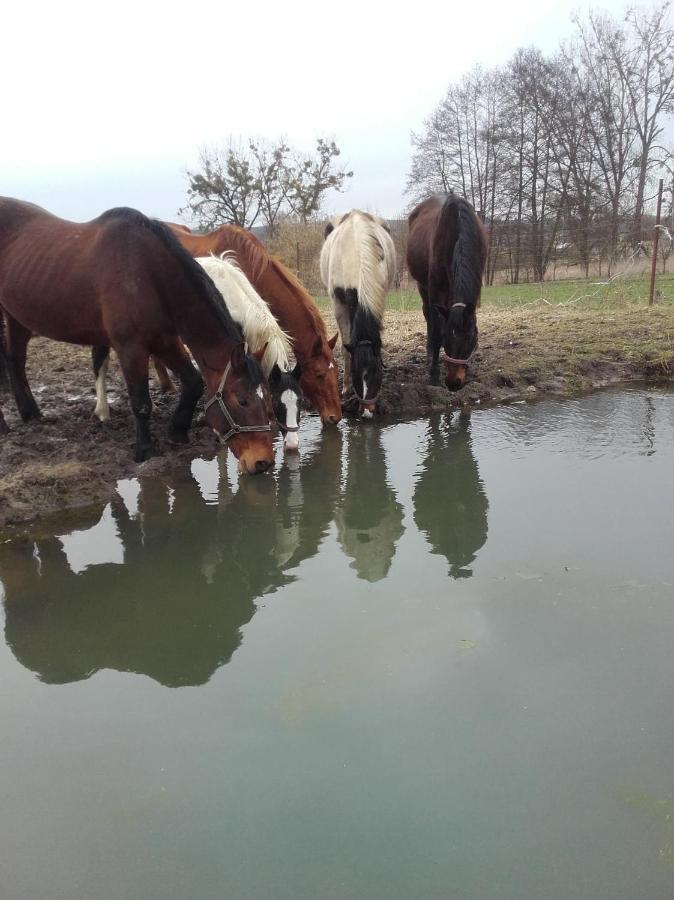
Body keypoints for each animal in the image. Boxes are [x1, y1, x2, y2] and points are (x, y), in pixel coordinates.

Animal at [0, 199, 274, 472]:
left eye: (267, 398)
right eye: (242, 400)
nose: (263, 463)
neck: (147, 271)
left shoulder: (165, 341)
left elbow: (194, 382)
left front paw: (177, 432)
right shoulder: (130, 348)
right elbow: (141, 402)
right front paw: (145, 449)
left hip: (16, 317)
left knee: (15, 360)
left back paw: (31, 414)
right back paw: (5, 426)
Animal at [318, 211, 394, 418]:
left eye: (377, 372)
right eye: (354, 371)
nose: (367, 412)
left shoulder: (378, 299)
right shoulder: (339, 304)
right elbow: (345, 347)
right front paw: (346, 388)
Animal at [404, 193, 484, 390]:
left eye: (470, 338)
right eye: (447, 336)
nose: (453, 383)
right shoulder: (435, 287)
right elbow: (435, 331)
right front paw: (434, 374)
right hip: (423, 286)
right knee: (428, 316)